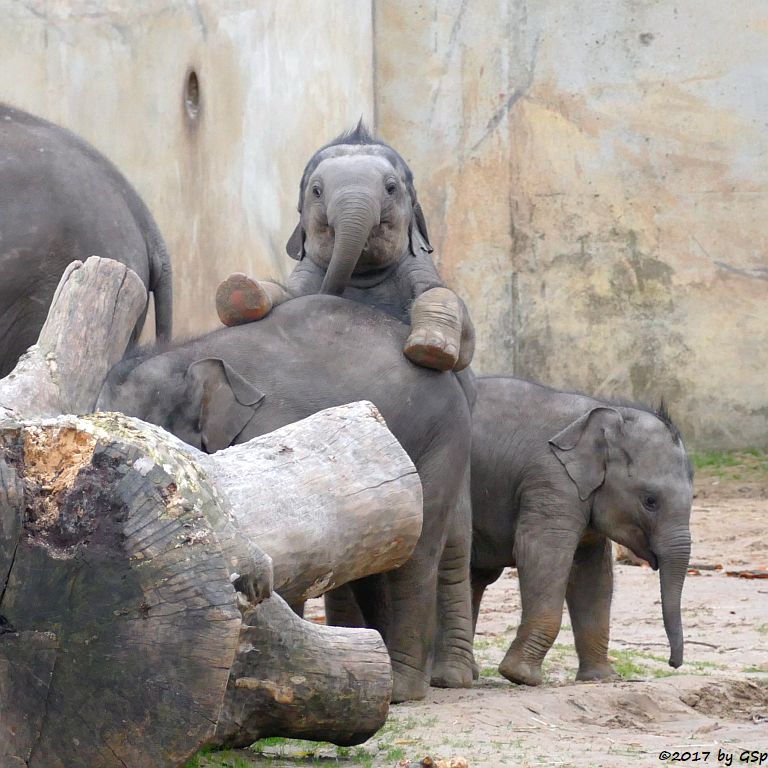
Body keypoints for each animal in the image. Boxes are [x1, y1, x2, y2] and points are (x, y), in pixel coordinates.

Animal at [216, 122, 474, 372]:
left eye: (391, 188)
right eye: (316, 191)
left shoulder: (415, 264)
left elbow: (442, 302)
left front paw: (431, 349)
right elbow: (290, 293)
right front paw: (238, 291)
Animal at [472, 376, 692, 684]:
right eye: (650, 501)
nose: (674, 663)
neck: (605, 411)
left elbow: (593, 573)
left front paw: (602, 679)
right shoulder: (552, 480)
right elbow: (542, 553)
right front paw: (521, 676)